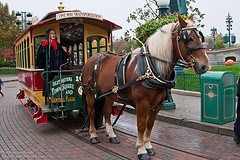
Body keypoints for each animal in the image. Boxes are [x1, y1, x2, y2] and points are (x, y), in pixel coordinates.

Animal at [81, 14, 209, 159]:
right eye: (188, 38)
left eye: (200, 37)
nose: (205, 66)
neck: (152, 68)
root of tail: (92, 58)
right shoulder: (142, 104)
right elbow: (141, 125)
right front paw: (141, 150)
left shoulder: (158, 105)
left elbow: (150, 124)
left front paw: (148, 146)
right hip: (90, 94)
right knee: (91, 113)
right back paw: (93, 135)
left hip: (109, 95)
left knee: (106, 112)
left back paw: (112, 135)